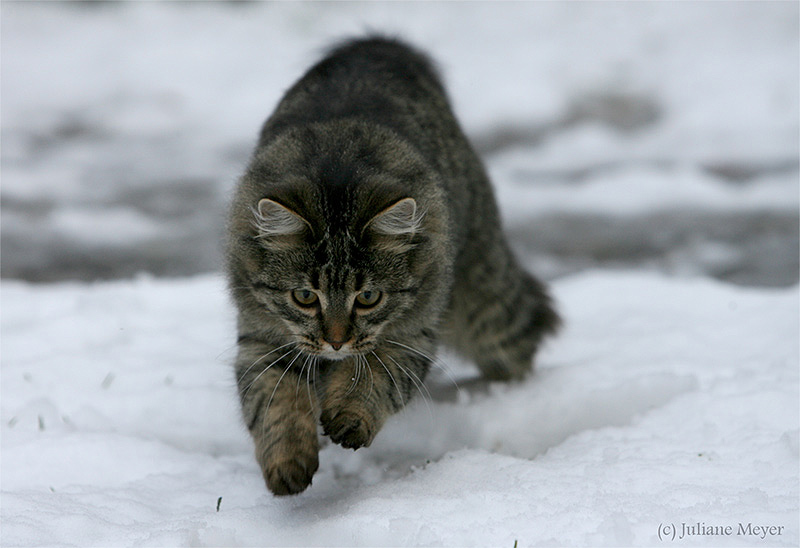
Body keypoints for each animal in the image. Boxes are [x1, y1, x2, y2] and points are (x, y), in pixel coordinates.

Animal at [225, 36, 560, 494]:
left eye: (368, 296)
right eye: (305, 296)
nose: (335, 342)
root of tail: (377, 46)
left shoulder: (410, 334)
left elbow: (371, 379)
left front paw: (348, 418)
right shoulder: (264, 338)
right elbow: (274, 404)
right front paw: (288, 465)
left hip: (485, 305)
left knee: (523, 337)